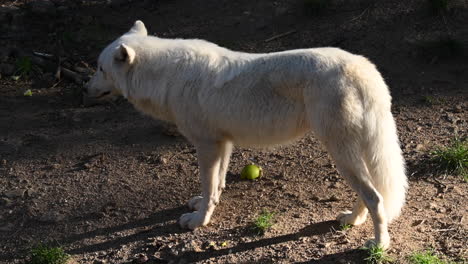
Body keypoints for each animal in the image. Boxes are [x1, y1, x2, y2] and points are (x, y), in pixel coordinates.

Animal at [87, 20, 406, 250]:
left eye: (101, 69)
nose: (85, 88)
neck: (167, 76)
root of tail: (364, 68)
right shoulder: (223, 143)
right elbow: (217, 185)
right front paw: (203, 206)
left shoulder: (207, 145)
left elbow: (209, 186)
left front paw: (198, 221)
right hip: (351, 152)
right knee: (372, 192)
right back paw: (352, 220)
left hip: (340, 152)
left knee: (375, 197)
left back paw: (379, 244)